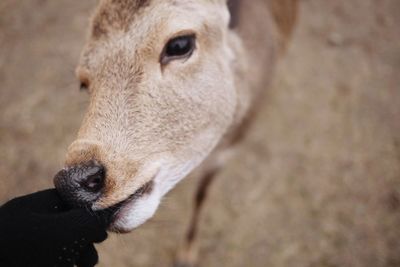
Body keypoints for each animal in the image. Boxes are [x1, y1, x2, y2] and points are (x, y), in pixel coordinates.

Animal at [53, 1, 296, 266]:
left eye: (180, 44)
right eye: (83, 83)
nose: (72, 182)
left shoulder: (227, 151)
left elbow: (202, 193)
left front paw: (187, 254)